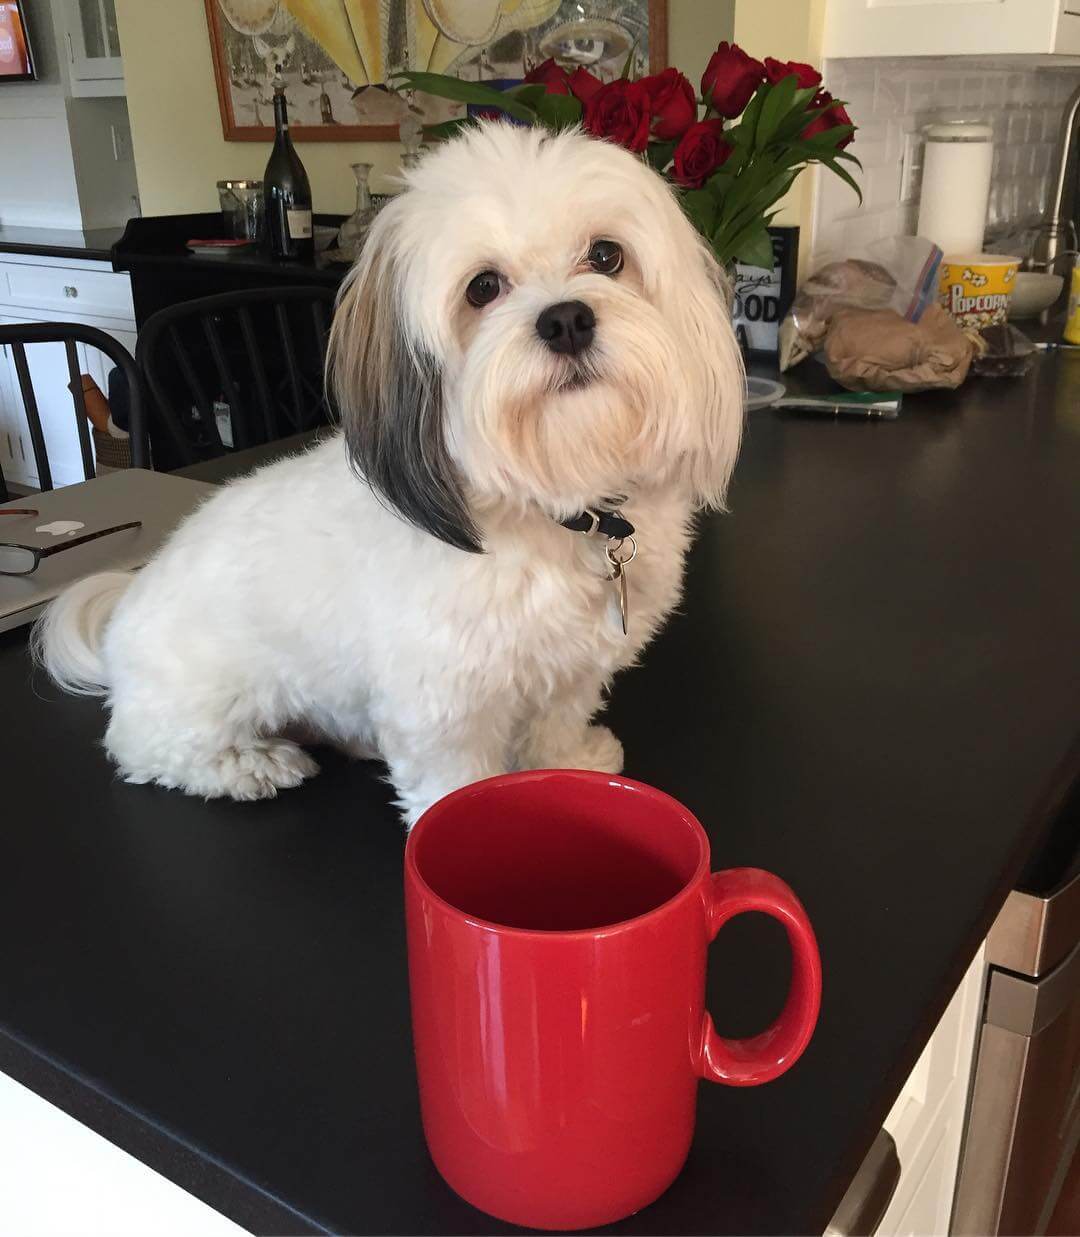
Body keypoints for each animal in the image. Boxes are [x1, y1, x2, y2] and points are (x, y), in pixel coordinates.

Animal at [37, 123, 744, 825]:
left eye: (606, 256)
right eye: (483, 287)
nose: (566, 319)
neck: (555, 506)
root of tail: (126, 600)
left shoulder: (571, 669)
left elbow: (557, 719)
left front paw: (569, 763)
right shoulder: (443, 703)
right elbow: (454, 777)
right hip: (204, 698)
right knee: (146, 745)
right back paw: (247, 765)